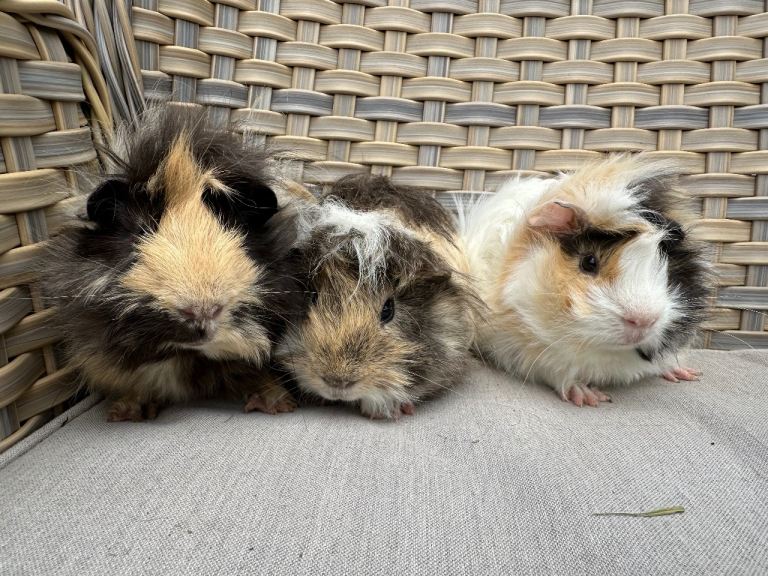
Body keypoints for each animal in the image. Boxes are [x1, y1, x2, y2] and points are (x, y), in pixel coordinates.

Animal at [42, 105, 303, 421]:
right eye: (142, 230)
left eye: (233, 226)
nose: (203, 312)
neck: (184, 354)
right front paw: (125, 413)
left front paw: (280, 404)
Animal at [458, 155, 711, 407]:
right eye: (589, 262)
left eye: (665, 265)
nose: (643, 320)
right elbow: (562, 375)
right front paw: (590, 398)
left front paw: (687, 374)